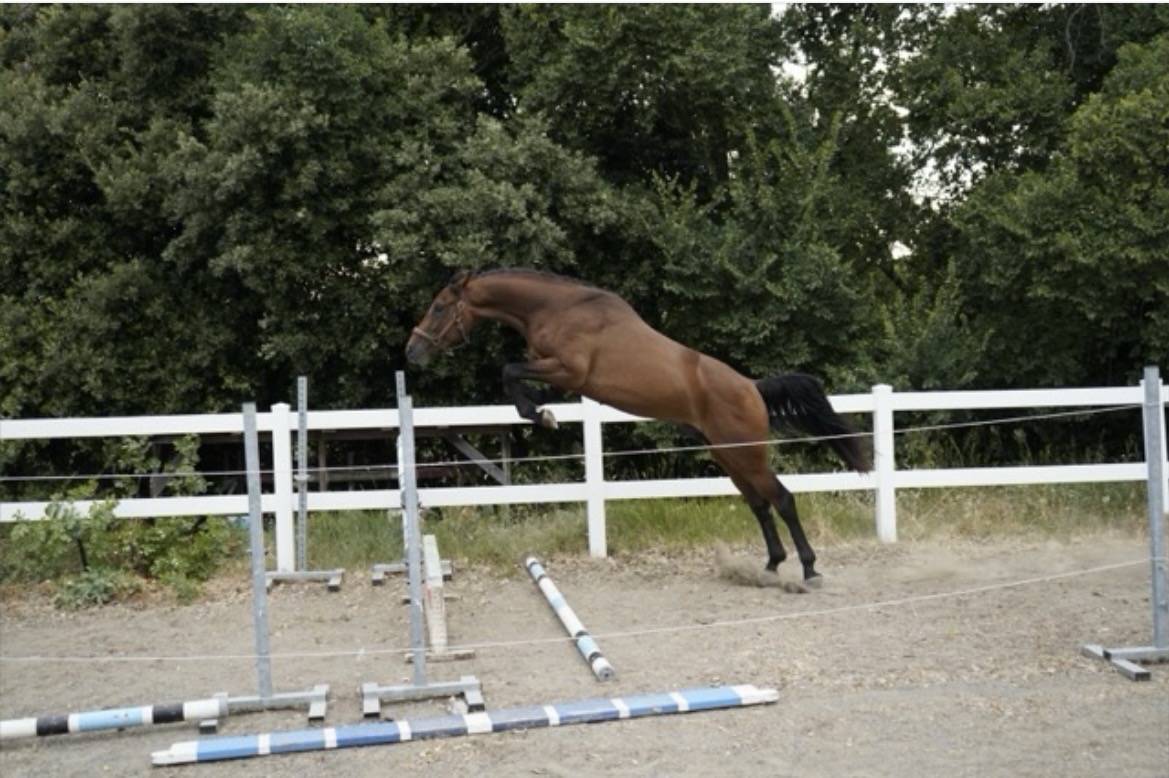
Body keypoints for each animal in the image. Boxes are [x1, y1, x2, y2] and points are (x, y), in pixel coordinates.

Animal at [405, 269, 870, 584]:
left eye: (440, 307)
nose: (412, 351)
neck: (556, 309)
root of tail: (752, 388)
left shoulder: (569, 371)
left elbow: (509, 371)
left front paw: (541, 415)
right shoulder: (566, 379)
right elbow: (519, 380)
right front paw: (541, 413)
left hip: (748, 454)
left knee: (783, 499)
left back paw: (809, 570)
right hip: (728, 456)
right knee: (759, 504)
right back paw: (772, 564)